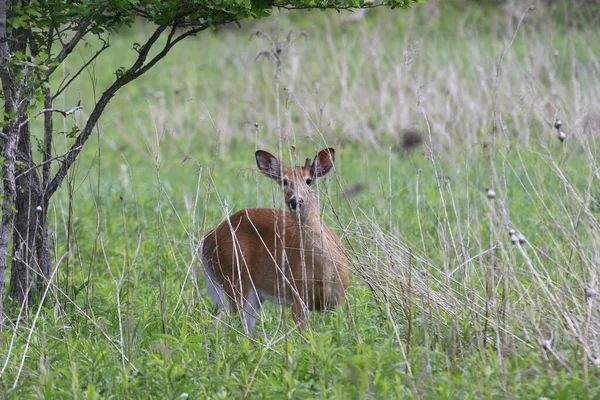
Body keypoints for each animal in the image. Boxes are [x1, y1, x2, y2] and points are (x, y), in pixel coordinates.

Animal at [202, 147, 350, 334]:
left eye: (309, 181)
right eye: (284, 182)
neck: (323, 268)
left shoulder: (338, 299)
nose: (295, 201)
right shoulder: (298, 296)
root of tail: (207, 239)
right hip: (236, 279)